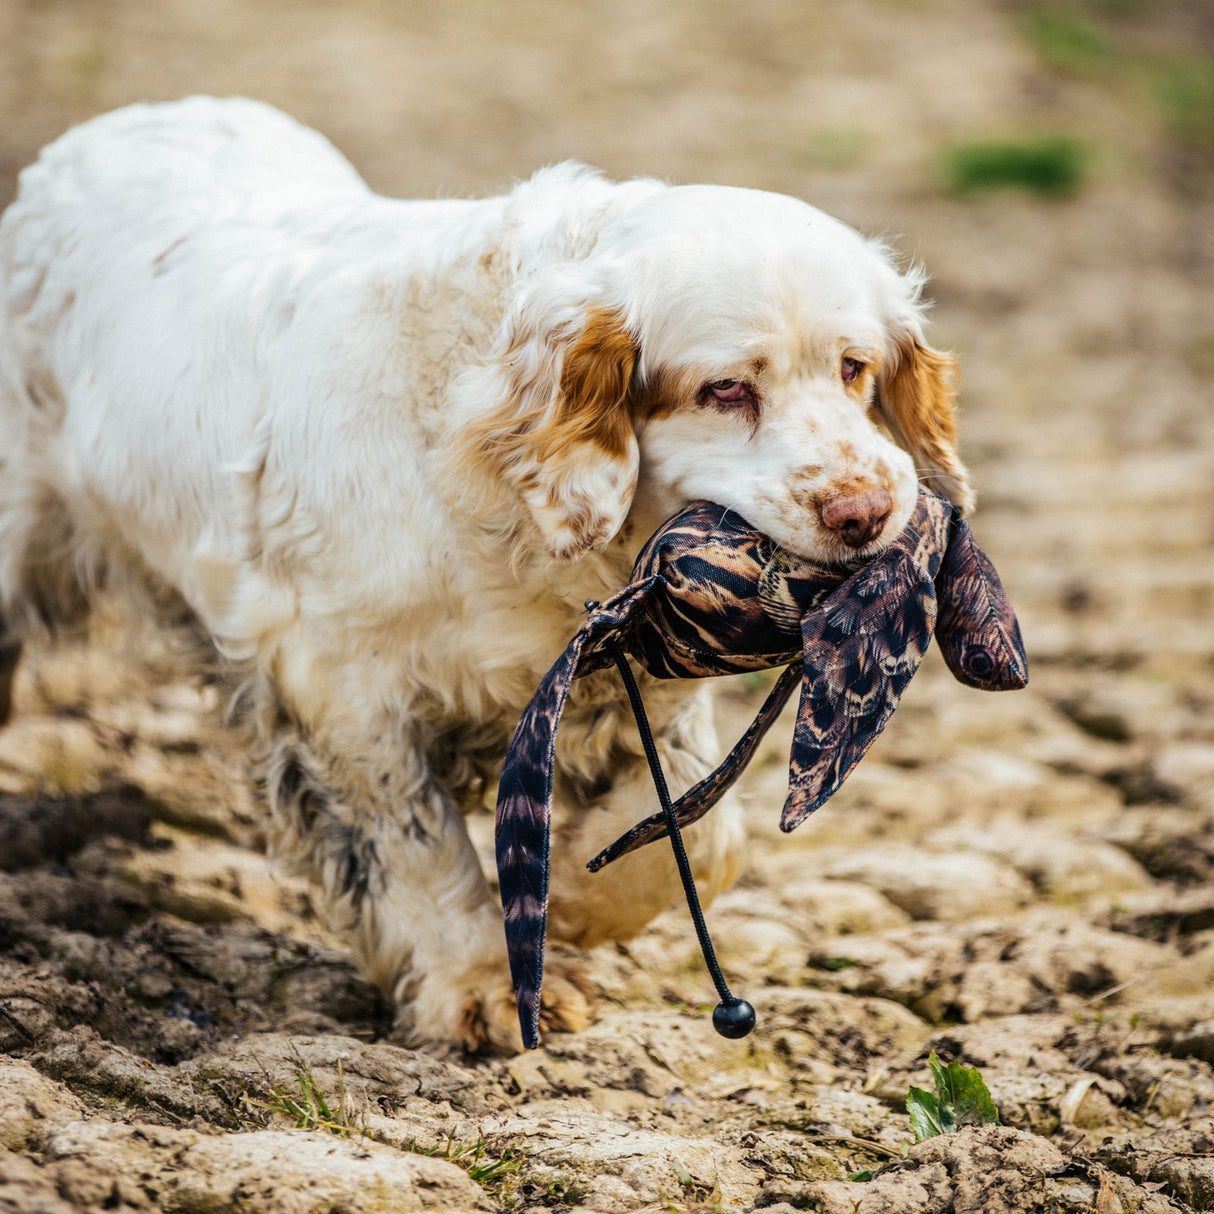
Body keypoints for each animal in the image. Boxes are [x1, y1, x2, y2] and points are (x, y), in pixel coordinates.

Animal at [0, 99, 966, 1053]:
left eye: (855, 367)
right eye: (726, 390)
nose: (866, 512)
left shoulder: (642, 686)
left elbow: (703, 833)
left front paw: (569, 900)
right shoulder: (340, 688)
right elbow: (418, 844)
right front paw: (479, 983)